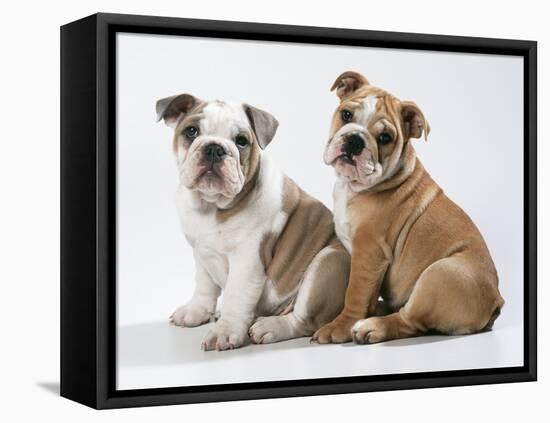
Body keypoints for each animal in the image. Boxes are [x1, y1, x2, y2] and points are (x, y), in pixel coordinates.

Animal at [157, 95, 352, 352]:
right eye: (191, 131)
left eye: (241, 141)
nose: (214, 148)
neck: (211, 206)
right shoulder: (200, 253)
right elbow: (204, 285)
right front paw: (196, 312)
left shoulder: (247, 260)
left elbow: (236, 295)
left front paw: (225, 331)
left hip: (329, 262)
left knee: (304, 320)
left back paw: (270, 327)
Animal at [312, 72, 506, 344]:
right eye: (347, 115)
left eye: (385, 138)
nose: (355, 140)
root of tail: (496, 300)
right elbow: (366, 293)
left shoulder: (369, 251)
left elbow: (355, 292)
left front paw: (339, 327)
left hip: (439, 275)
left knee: (409, 320)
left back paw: (371, 326)